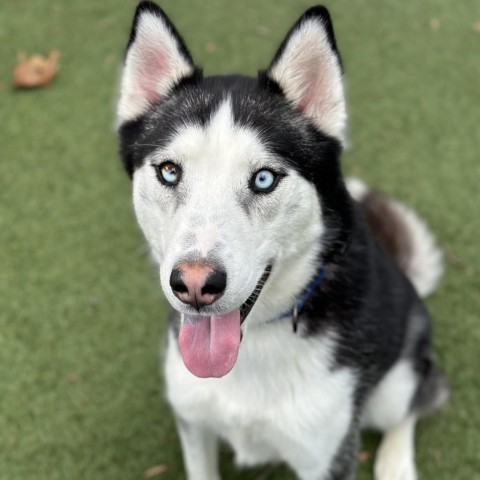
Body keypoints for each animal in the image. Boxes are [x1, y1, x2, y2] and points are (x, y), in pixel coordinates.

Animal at [118, 1, 448, 478]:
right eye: (169, 171)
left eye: (263, 179)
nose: (195, 285)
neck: (255, 339)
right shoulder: (193, 423)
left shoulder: (327, 456)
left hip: (395, 384)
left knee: (419, 398)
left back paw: (395, 463)